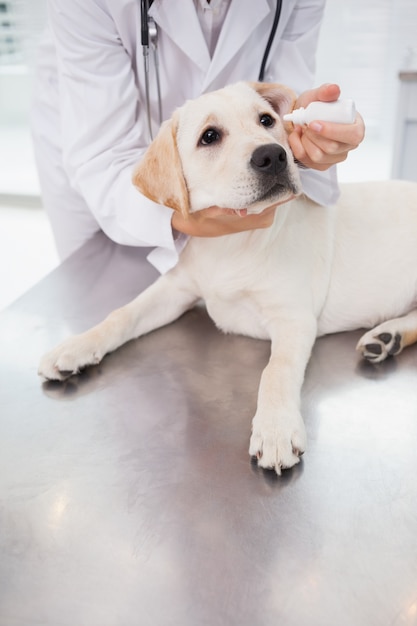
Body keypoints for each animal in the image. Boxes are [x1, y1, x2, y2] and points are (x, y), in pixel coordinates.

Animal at [38, 81, 416, 472]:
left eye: (266, 120)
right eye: (209, 136)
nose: (273, 156)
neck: (231, 245)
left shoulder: (294, 319)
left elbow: (276, 371)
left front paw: (276, 428)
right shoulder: (176, 288)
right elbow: (121, 314)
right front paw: (75, 346)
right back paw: (387, 338)